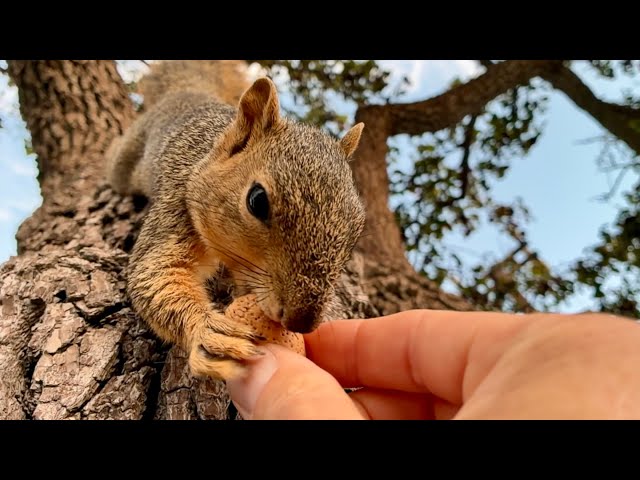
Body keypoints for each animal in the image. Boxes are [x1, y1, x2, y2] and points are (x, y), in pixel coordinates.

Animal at [105, 60, 367, 381]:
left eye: (356, 230)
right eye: (257, 201)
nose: (301, 322)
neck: (206, 156)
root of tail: (185, 91)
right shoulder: (177, 207)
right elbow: (155, 272)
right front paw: (208, 328)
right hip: (125, 161)